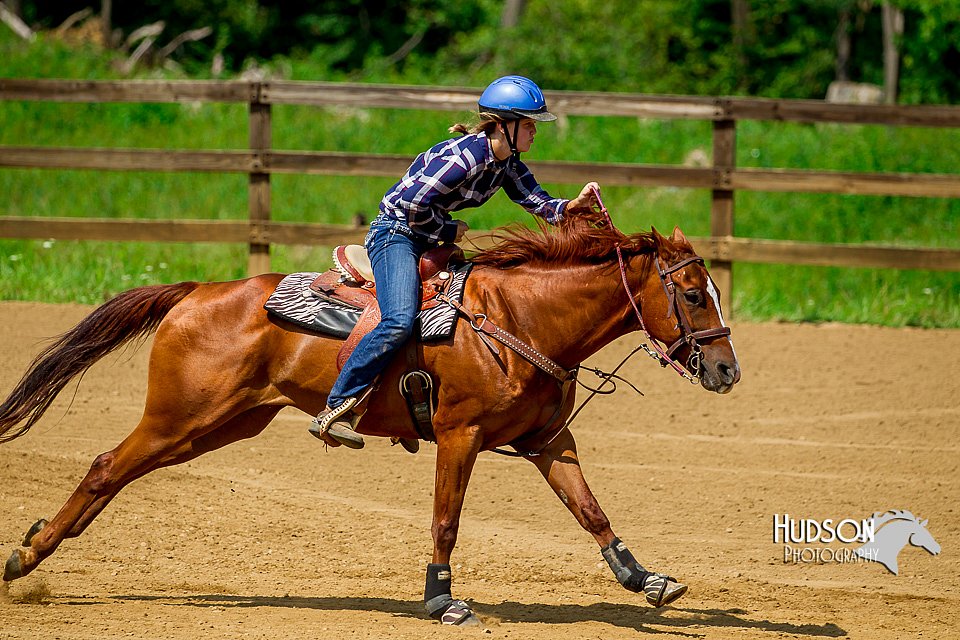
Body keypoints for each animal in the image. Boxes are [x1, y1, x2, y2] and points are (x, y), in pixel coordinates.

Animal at [0, 214, 740, 624]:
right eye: (693, 294)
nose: (727, 371)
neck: (521, 319)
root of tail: (197, 290)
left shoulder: (549, 442)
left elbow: (591, 512)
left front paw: (646, 580)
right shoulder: (459, 437)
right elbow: (446, 520)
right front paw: (442, 600)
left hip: (214, 427)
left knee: (117, 473)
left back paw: (35, 547)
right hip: (179, 417)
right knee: (105, 467)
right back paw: (24, 557)